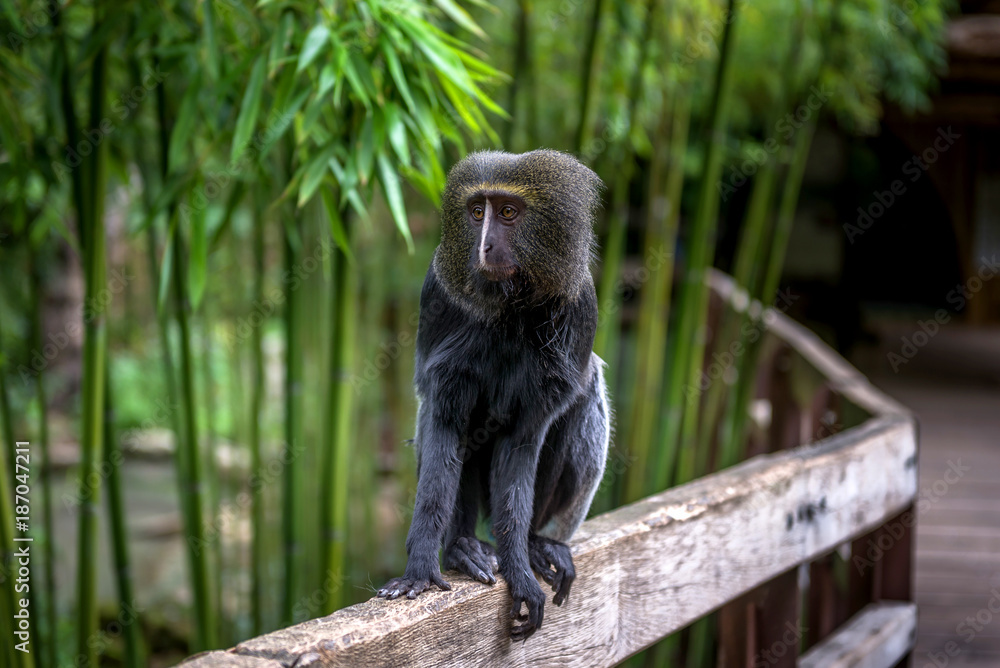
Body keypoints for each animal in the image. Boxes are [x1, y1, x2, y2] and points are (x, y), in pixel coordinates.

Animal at [377, 149, 611, 641]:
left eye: (507, 213)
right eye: (476, 212)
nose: (483, 247)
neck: (511, 307)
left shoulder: (582, 306)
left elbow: (522, 444)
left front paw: (519, 569)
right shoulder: (438, 294)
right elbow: (443, 424)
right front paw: (421, 570)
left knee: (586, 394)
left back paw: (539, 544)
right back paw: (463, 547)